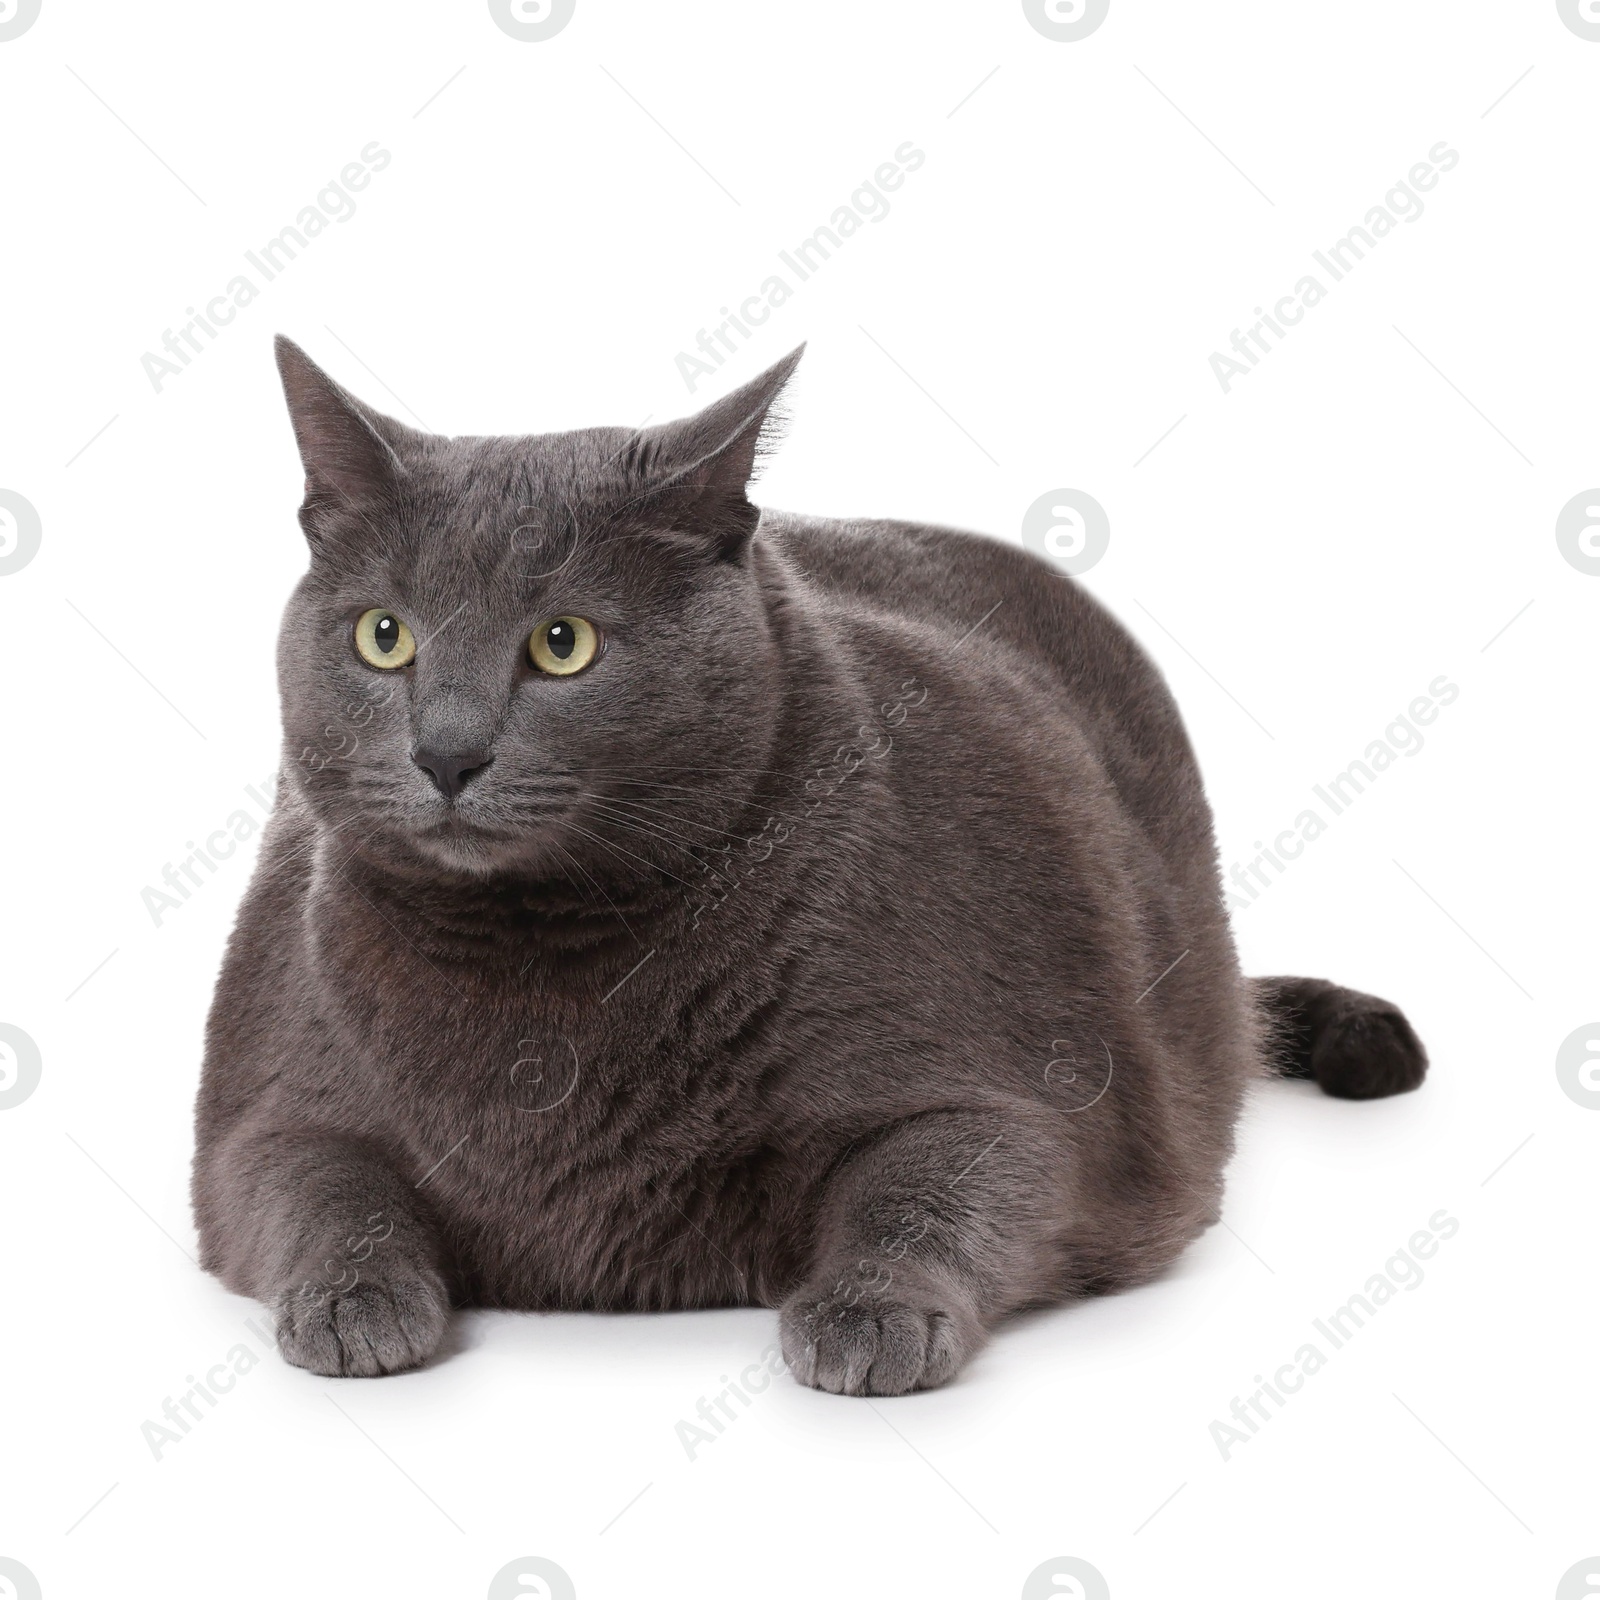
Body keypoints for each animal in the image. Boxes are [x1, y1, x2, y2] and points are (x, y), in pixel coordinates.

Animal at [190, 337, 1427, 1388]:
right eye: (383, 635)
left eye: (563, 644)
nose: (445, 751)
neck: (537, 958)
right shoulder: (265, 1102)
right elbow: (313, 1180)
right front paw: (353, 1299)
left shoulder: (1038, 1093)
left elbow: (935, 1179)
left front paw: (870, 1312)